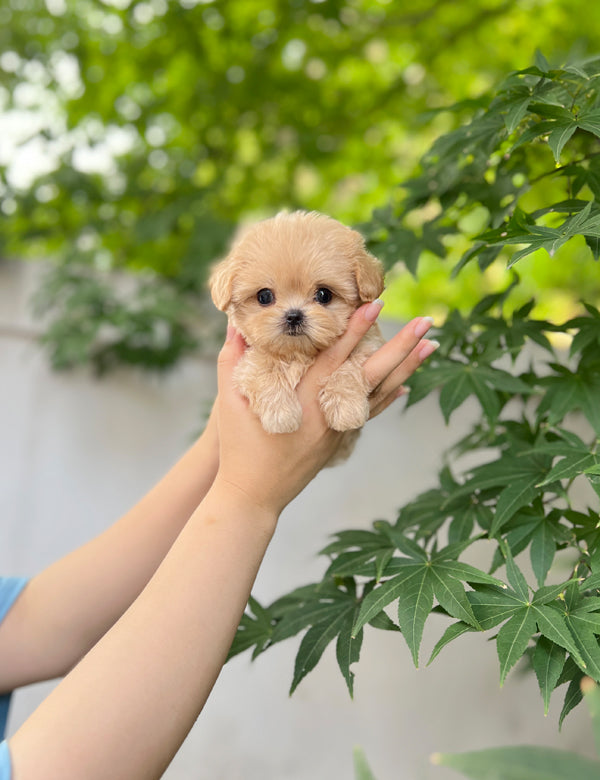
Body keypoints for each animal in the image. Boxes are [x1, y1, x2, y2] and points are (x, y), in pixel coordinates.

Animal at [210, 210, 384, 460]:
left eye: (324, 295)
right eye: (264, 296)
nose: (293, 316)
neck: (298, 353)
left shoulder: (368, 345)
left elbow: (347, 367)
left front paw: (347, 408)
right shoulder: (246, 364)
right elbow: (263, 369)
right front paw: (281, 415)